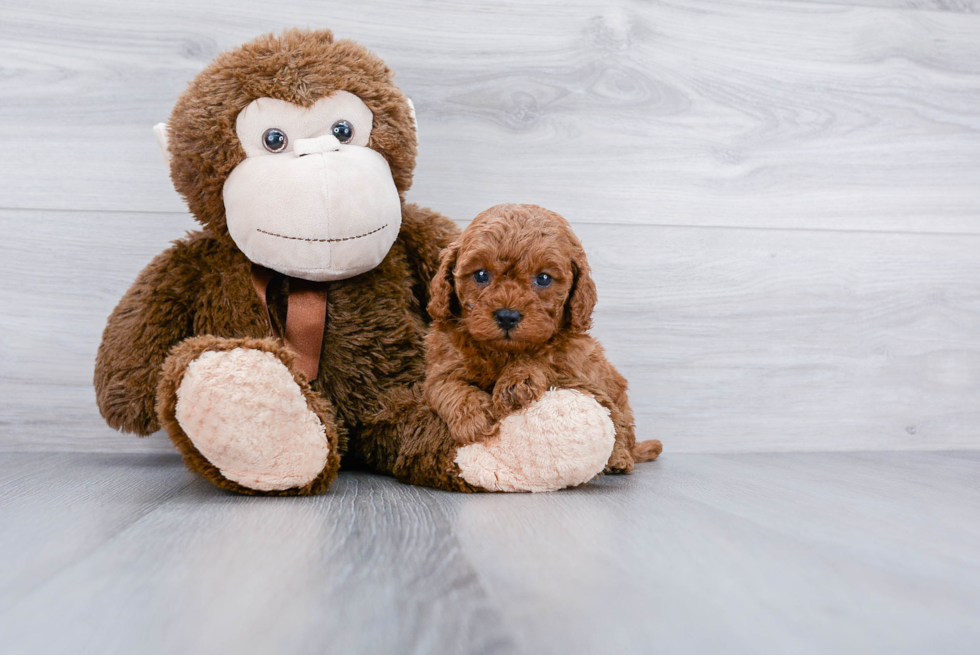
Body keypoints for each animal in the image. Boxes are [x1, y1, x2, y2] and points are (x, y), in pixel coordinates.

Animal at [424, 202, 664, 474]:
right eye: (481, 275)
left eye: (544, 278)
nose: (507, 316)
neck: (503, 351)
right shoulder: (442, 363)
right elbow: (447, 386)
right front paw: (475, 417)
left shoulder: (573, 361)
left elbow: (545, 357)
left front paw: (517, 379)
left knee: (622, 425)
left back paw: (620, 458)